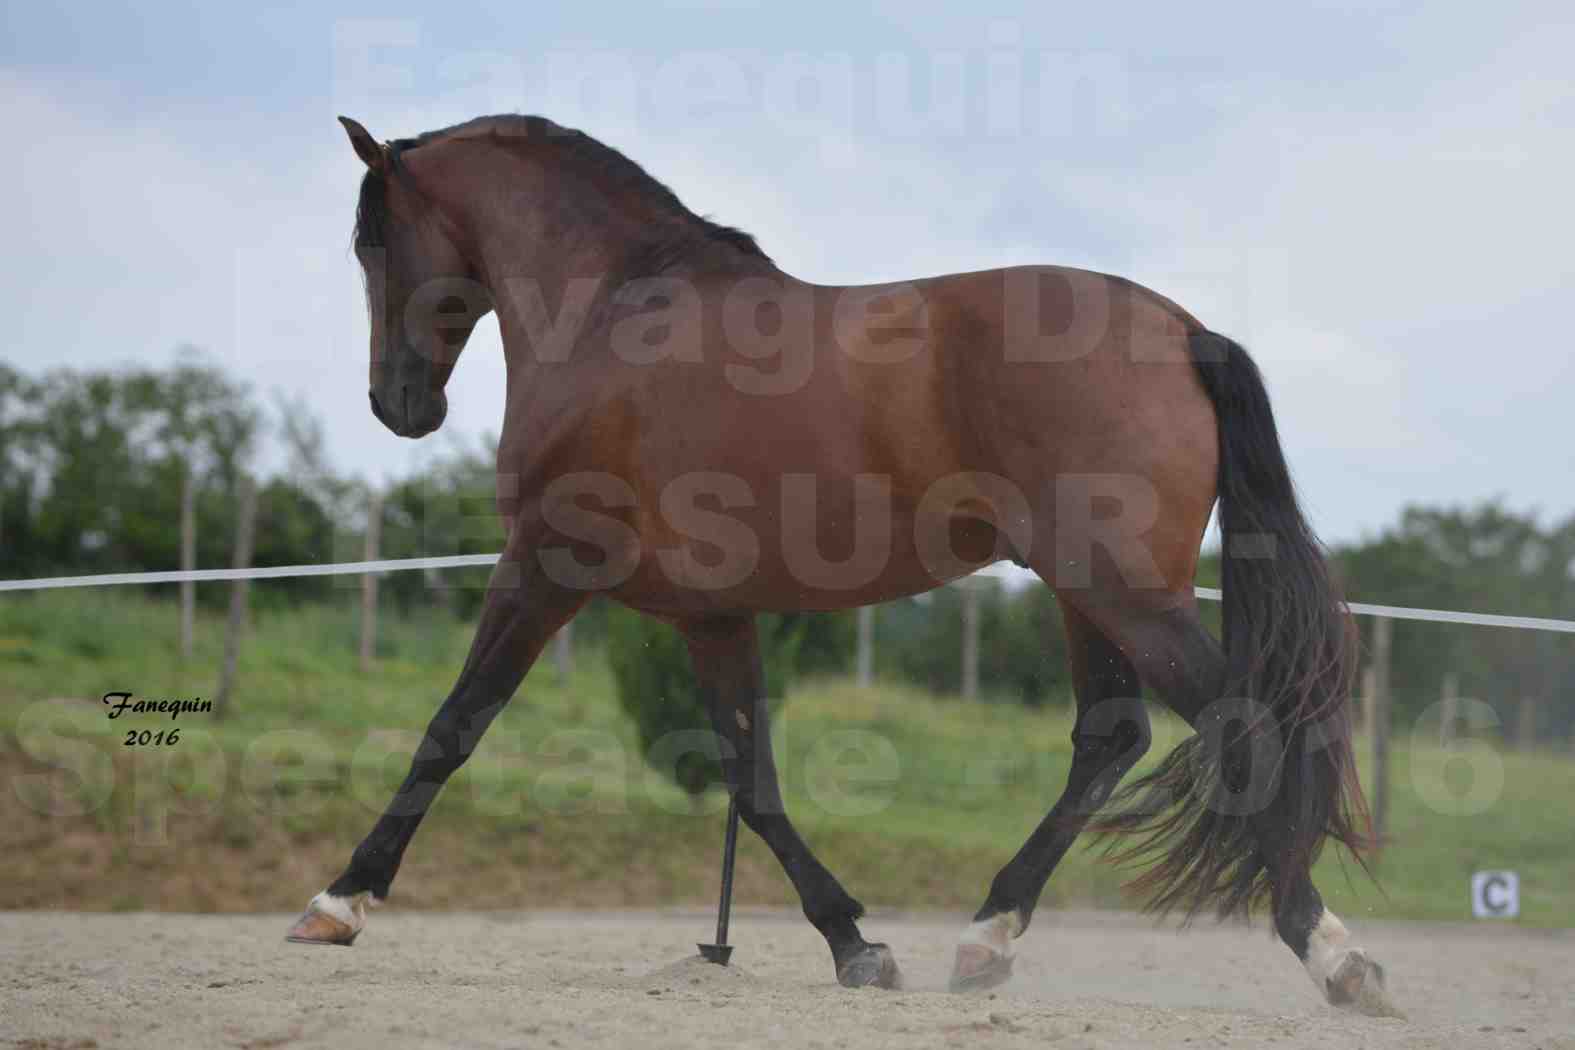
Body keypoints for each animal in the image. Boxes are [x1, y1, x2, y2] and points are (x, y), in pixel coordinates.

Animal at [292, 110, 1392, 1013]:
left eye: (369, 239)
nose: (397, 405)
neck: (612, 310)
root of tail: (1185, 332)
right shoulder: (711, 613)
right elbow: (751, 780)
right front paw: (855, 944)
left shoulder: (546, 565)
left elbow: (452, 726)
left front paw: (338, 900)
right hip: (1090, 594)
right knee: (1111, 737)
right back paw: (986, 939)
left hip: (1118, 588)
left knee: (1240, 724)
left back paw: (1332, 953)